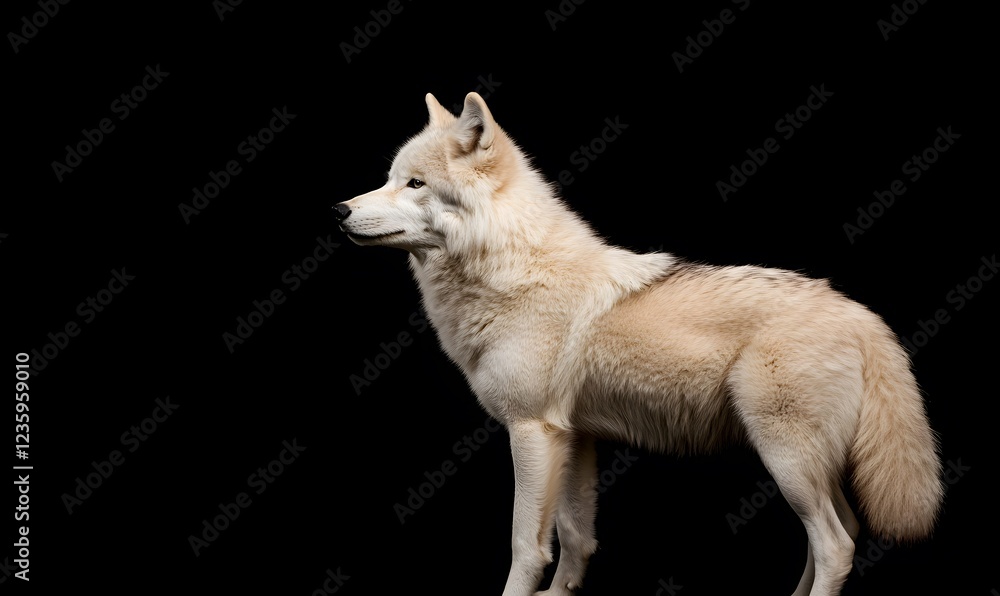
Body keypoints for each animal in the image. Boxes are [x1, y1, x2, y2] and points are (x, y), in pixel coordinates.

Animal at [334, 92, 943, 595]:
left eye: (415, 184)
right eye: (389, 179)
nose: (338, 210)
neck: (513, 271)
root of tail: (862, 315)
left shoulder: (531, 431)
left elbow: (526, 548)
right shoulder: (574, 438)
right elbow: (576, 538)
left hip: (786, 460)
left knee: (836, 545)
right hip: (809, 467)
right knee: (844, 533)